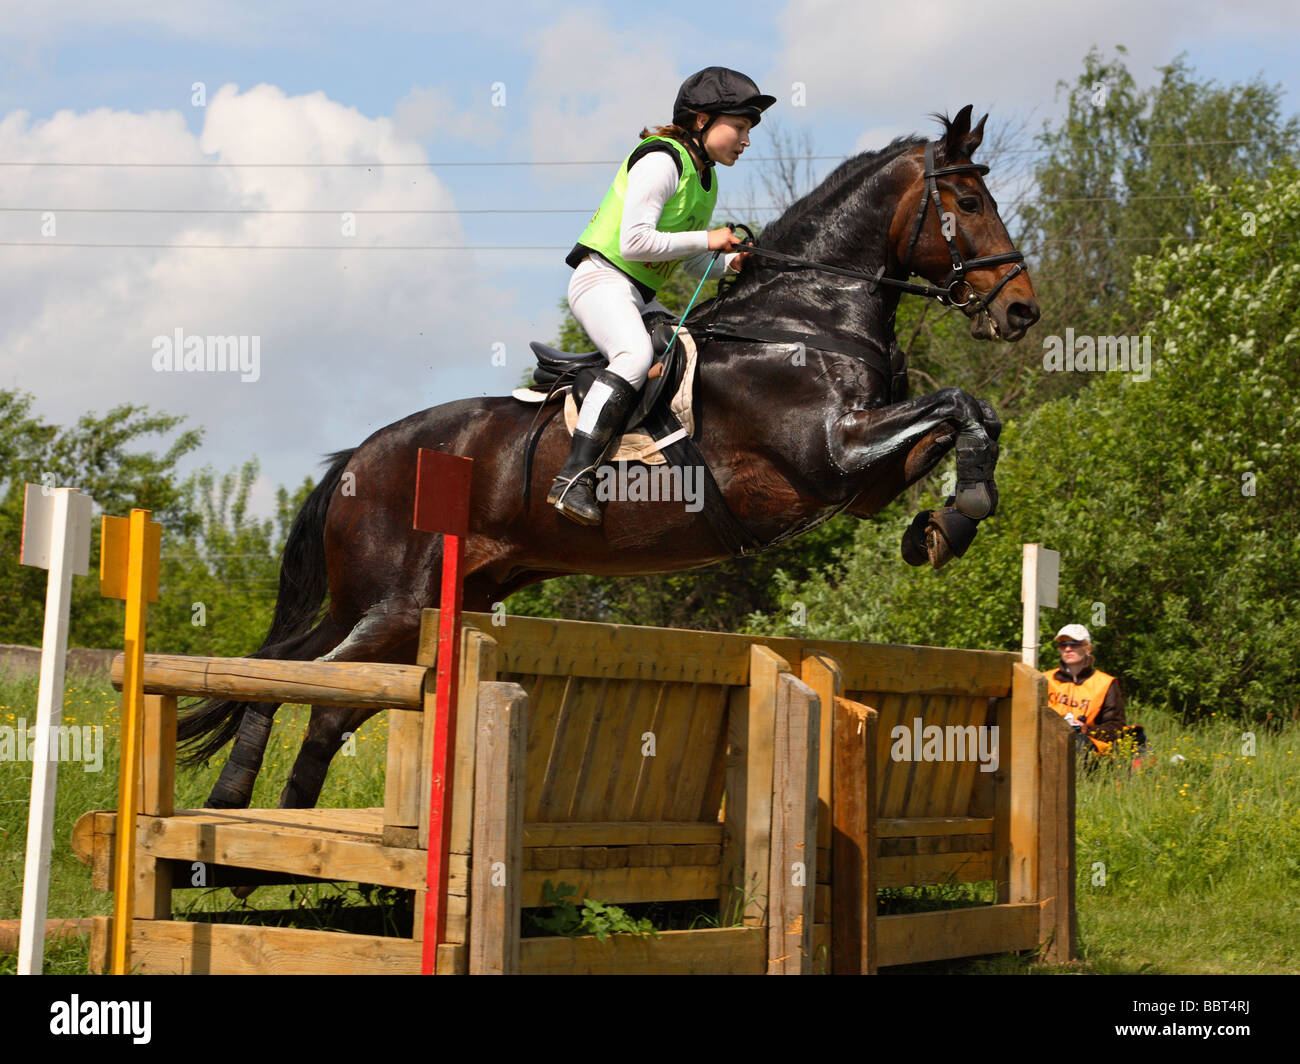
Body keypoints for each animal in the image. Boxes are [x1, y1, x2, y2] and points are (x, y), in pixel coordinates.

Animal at [180, 106, 1034, 806]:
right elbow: (959, 404)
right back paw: (234, 819)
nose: (1021, 310)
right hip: (392, 601)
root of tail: (358, 458)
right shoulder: (829, 453)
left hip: (419, 604)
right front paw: (961, 516)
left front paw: (941, 527)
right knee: (295, 683)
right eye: (968, 204)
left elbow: (970, 413)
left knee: (320, 703)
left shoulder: (860, 478)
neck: (806, 319)